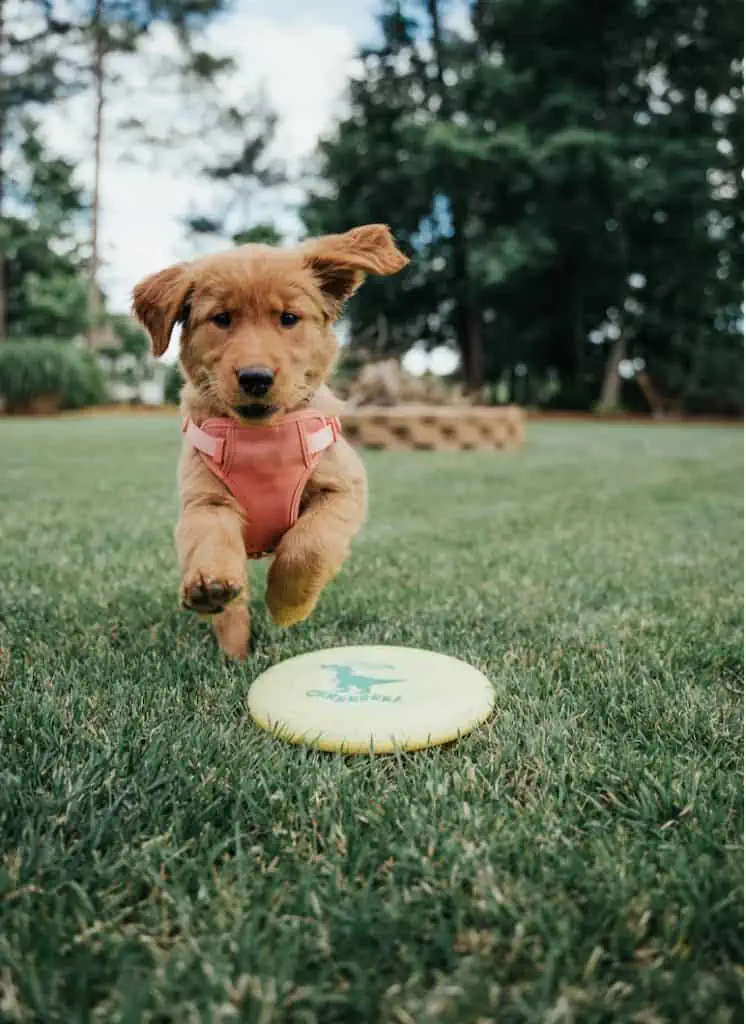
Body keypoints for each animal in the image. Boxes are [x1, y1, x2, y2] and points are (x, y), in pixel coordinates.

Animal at [132, 223, 407, 655]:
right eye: (222, 318)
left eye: (289, 318)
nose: (255, 377)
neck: (262, 439)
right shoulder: (205, 500)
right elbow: (210, 537)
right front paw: (211, 586)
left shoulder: (344, 489)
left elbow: (308, 545)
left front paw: (286, 605)